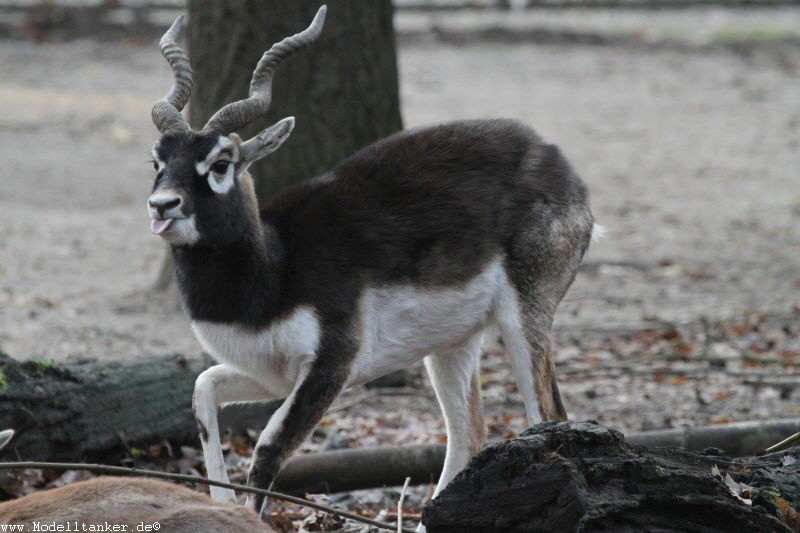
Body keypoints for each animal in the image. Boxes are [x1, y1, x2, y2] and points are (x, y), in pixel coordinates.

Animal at [148, 5, 592, 516]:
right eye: (157, 161)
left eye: (221, 163)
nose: (162, 205)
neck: (274, 269)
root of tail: (559, 163)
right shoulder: (271, 375)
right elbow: (203, 393)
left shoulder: (332, 364)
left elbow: (268, 449)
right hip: (452, 343)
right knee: (469, 433)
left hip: (524, 319)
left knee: (549, 415)